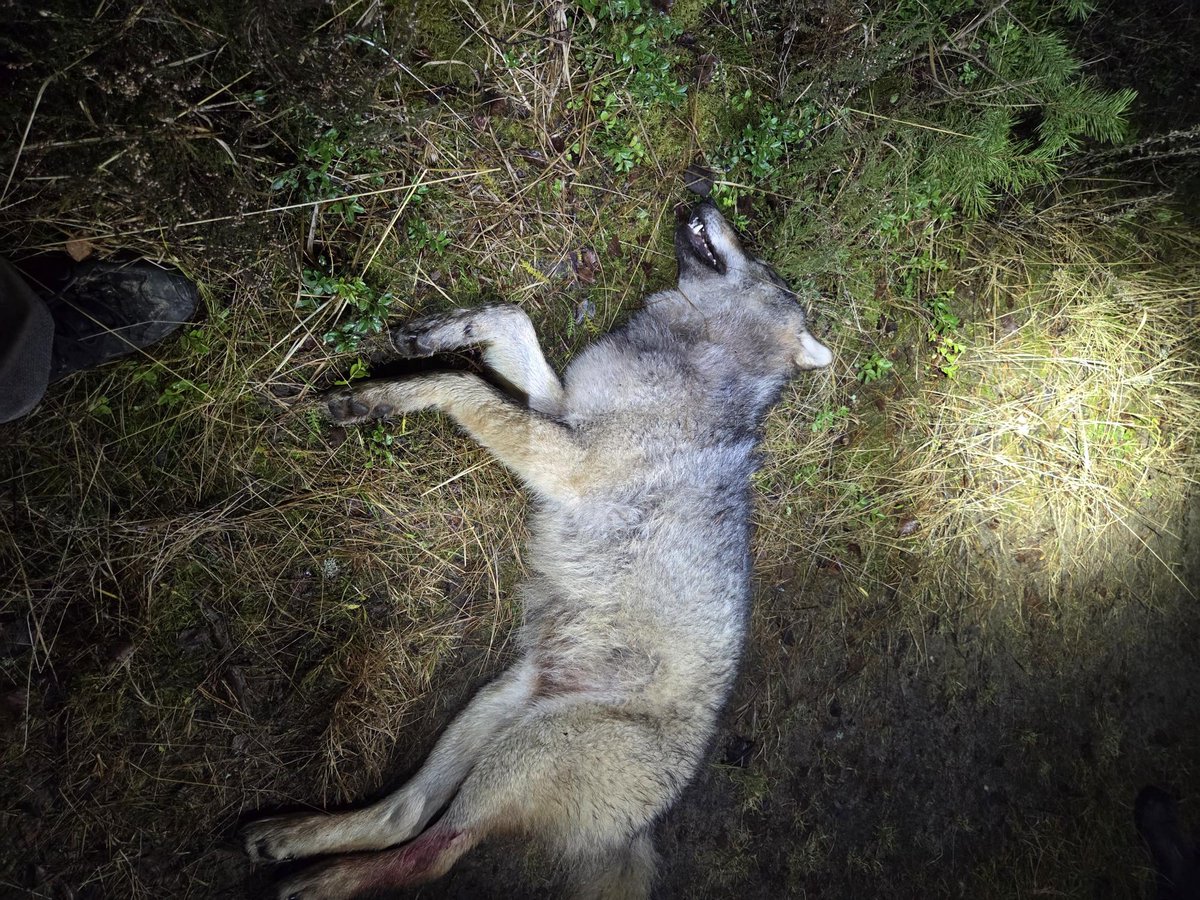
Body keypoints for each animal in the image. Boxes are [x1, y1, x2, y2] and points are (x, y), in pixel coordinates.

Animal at [242, 201, 832, 899]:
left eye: (766, 268)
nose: (708, 196)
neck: (696, 353)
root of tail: (640, 829)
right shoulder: (557, 409)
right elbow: (513, 321)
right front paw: (439, 332)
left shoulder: (564, 457)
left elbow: (462, 386)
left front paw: (383, 394)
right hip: (491, 712)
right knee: (401, 814)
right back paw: (290, 838)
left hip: (521, 753)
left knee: (435, 851)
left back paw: (319, 883)